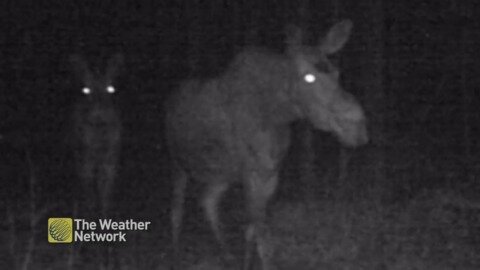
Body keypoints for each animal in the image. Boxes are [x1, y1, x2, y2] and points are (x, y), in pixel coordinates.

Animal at [71, 53, 124, 216]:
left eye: (111, 88)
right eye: (86, 90)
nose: (98, 113)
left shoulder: (111, 159)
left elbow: (105, 191)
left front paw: (104, 214)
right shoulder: (86, 159)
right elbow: (89, 189)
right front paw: (90, 212)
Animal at [165, 20, 368, 268]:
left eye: (337, 73)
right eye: (308, 77)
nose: (358, 126)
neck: (279, 115)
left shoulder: (270, 173)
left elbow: (251, 231)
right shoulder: (250, 174)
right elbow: (263, 239)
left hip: (222, 173)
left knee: (208, 201)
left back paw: (226, 254)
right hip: (178, 163)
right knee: (177, 210)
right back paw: (176, 255)